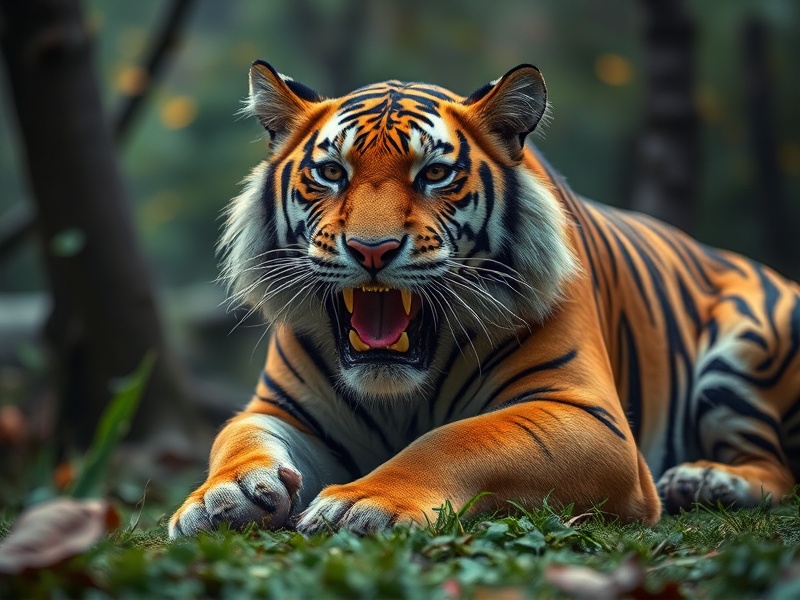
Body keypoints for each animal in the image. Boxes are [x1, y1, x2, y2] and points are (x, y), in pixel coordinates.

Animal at [169, 61, 800, 537]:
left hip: (743, 348)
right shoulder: (280, 408)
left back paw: (707, 481)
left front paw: (361, 502)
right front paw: (222, 497)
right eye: (330, 172)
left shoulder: (587, 414)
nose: (372, 250)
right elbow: (238, 438)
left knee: (776, 465)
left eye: (434, 174)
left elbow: (454, 440)